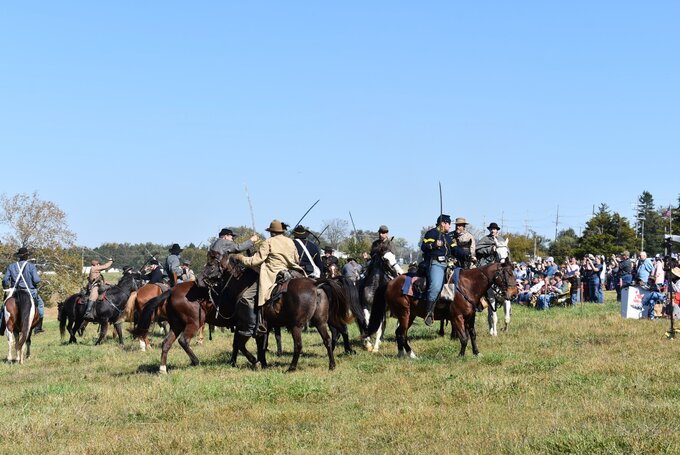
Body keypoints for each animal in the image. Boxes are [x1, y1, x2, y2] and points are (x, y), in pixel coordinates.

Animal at [366, 262, 520, 362]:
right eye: (508, 274)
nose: (514, 294)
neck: (467, 285)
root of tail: (389, 283)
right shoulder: (457, 317)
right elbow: (464, 338)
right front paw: (460, 356)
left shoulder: (470, 317)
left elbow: (473, 335)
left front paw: (477, 353)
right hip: (404, 314)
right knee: (402, 334)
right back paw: (412, 355)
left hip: (410, 315)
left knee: (399, 333)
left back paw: (401, 354)